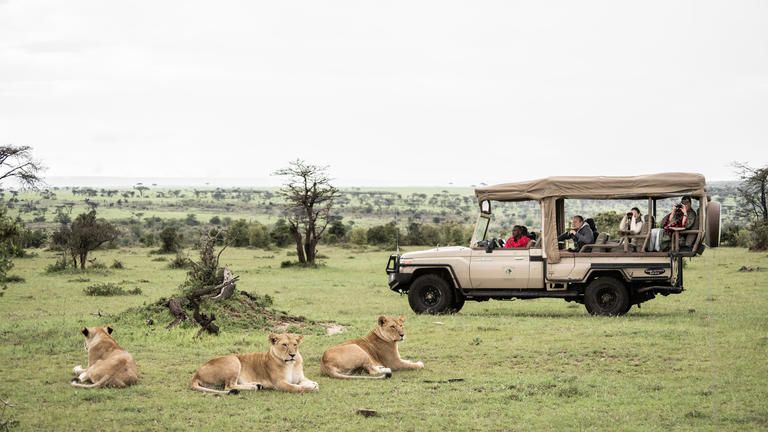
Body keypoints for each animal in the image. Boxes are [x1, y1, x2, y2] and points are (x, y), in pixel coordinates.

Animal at [190, 333, 319, 394]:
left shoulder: (300, 378)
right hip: (234, 360)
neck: (291, 364)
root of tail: (196, 374)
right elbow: (296, 387)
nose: (292, 355)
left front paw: (313, 384)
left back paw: (257, 385)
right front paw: (310, 388)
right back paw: (253, 387)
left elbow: (311, 382)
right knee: (229, 386)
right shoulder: (280, 383)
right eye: (284, 345)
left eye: (295, 344)